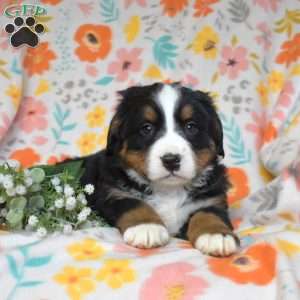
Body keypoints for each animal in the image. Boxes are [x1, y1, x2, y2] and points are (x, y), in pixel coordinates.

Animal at [79, 83, 239, 256]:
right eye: (146, 128)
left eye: (191, 126)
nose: (171, 160)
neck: (169, 191)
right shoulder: (114, 193)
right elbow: (134, 204)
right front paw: (146, 227)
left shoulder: (212, 198)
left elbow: (209, 213)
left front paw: (216, 235)